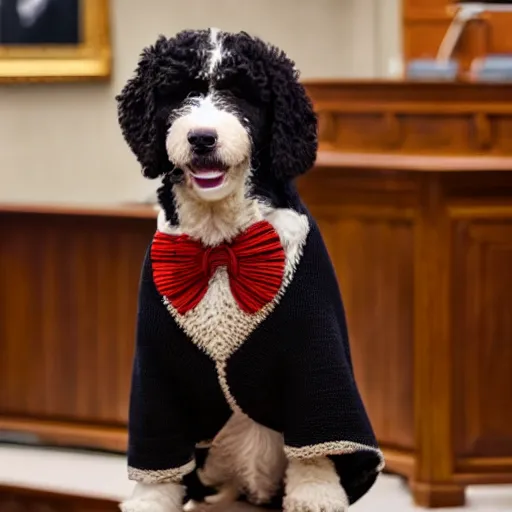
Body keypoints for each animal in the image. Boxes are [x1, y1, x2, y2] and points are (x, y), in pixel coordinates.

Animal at [115, 27, 380, 512]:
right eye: (178, 92)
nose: (202, 137)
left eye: (240, 94)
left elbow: (317, 441)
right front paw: (150, 498)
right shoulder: (156, 370)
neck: (221, 245)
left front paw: (315, 493)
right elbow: (160, 457)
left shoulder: (314, 352)